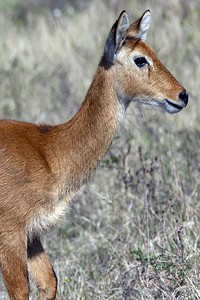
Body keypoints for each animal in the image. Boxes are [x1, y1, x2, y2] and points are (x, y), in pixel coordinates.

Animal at [0, 8, 188, 298]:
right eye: (140, 59)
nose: (182, 95)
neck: (48, 153)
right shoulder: (11, 234)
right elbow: (21, 290)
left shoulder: (33, 237)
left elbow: (50, 281)